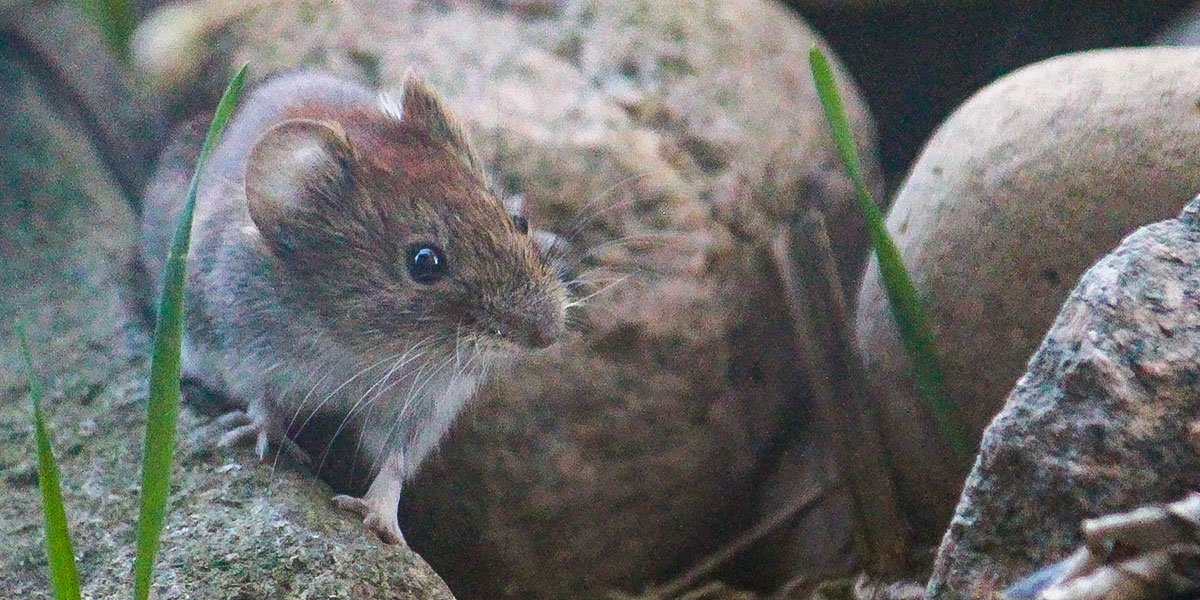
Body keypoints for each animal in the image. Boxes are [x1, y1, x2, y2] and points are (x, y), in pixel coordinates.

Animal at [139, 71, 569, 544]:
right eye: (425, 262)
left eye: (519, 222)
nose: (549, 335)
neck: (366, 349)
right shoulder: (243, 349)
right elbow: (262, 400)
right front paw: (262, 437)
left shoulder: (426, 404)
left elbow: (394, 463)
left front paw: (380, 522)